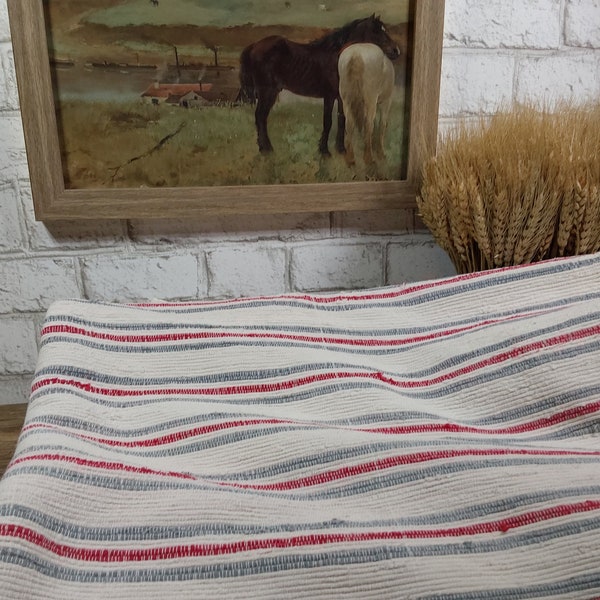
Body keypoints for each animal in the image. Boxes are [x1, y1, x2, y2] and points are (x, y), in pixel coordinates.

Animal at [238, 15, 398, 155]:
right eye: (376, 31)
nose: (396, 51)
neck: (337, 57)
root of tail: (254, 46)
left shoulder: (342, 97)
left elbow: (342, 120)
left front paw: (341, 149)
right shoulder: (329, 96)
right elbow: (328, 122)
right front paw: (324, 151)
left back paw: (263, 148)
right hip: (268, 92)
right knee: (260, 116)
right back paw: (267, 149)